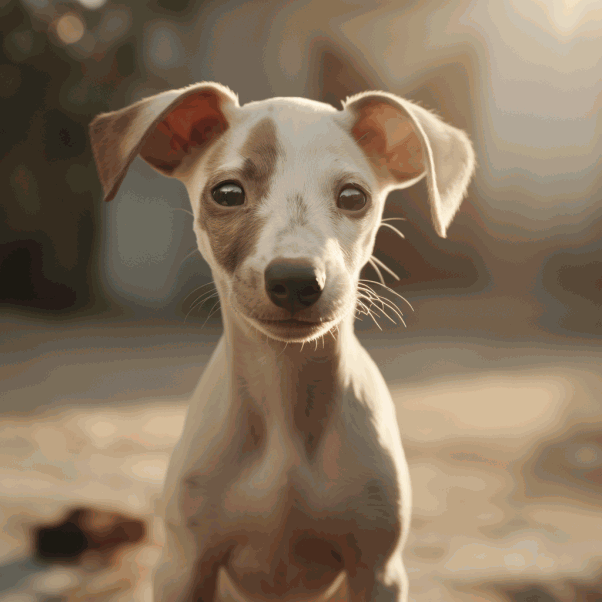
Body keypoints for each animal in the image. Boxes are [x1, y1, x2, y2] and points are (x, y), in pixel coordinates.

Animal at [89, 83, 474, 600]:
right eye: (228, 192)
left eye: (353, 196)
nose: (295, 280)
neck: (284, 402)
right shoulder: (184, 565)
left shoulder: (378, 570)